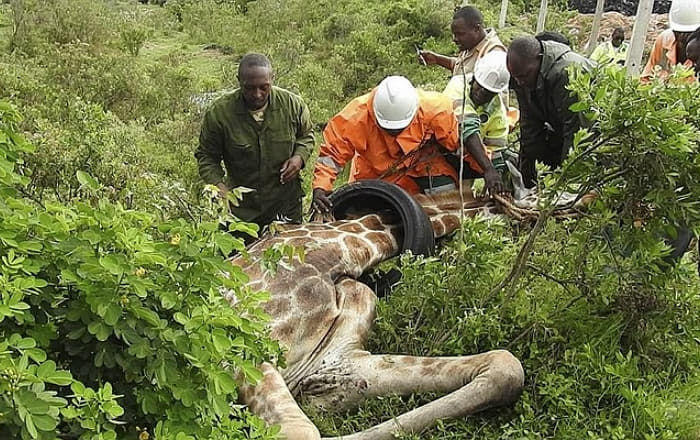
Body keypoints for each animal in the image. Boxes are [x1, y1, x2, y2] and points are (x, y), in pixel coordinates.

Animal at [223, 184, 584, 438]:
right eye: (548, 190)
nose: (591, 197)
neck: (349, 249)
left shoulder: (335, 360)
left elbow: (505, 366)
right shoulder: (243, 343)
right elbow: (301, 430)